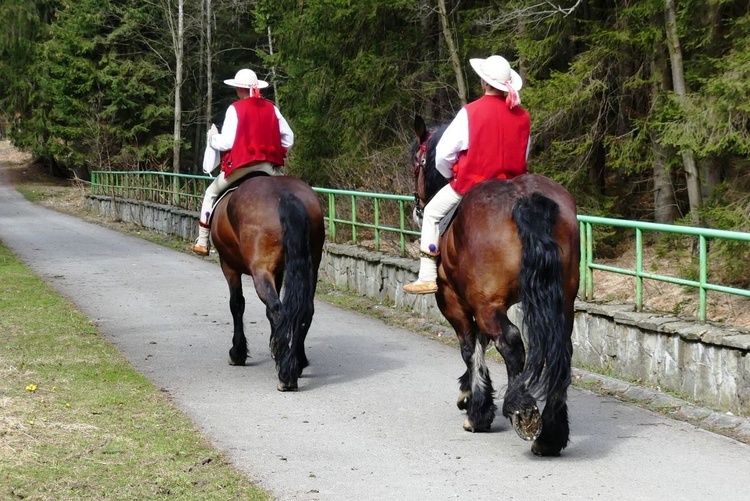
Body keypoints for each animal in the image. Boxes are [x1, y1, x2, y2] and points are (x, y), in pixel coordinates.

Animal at [213, 175, 328, 390]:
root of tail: (285, 195)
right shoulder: (279, 273)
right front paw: (276, 346)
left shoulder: (228, 266)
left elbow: (237, 304)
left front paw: (238, 352)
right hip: (311, 268)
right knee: (303, 311)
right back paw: (297, 362)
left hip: (260, 269)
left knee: (277, 309)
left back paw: (286, 375)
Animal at [412, 115, 580, 456]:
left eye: (416, 164)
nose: (417, 208)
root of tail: (525, 198)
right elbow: (480, 343)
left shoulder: (454, 300)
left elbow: (470, 346)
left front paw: (477, 409)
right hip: (561, 301)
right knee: (560, 347)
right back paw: (551, 433)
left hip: (486, 304)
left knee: (511, 342)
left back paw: (523, 410)